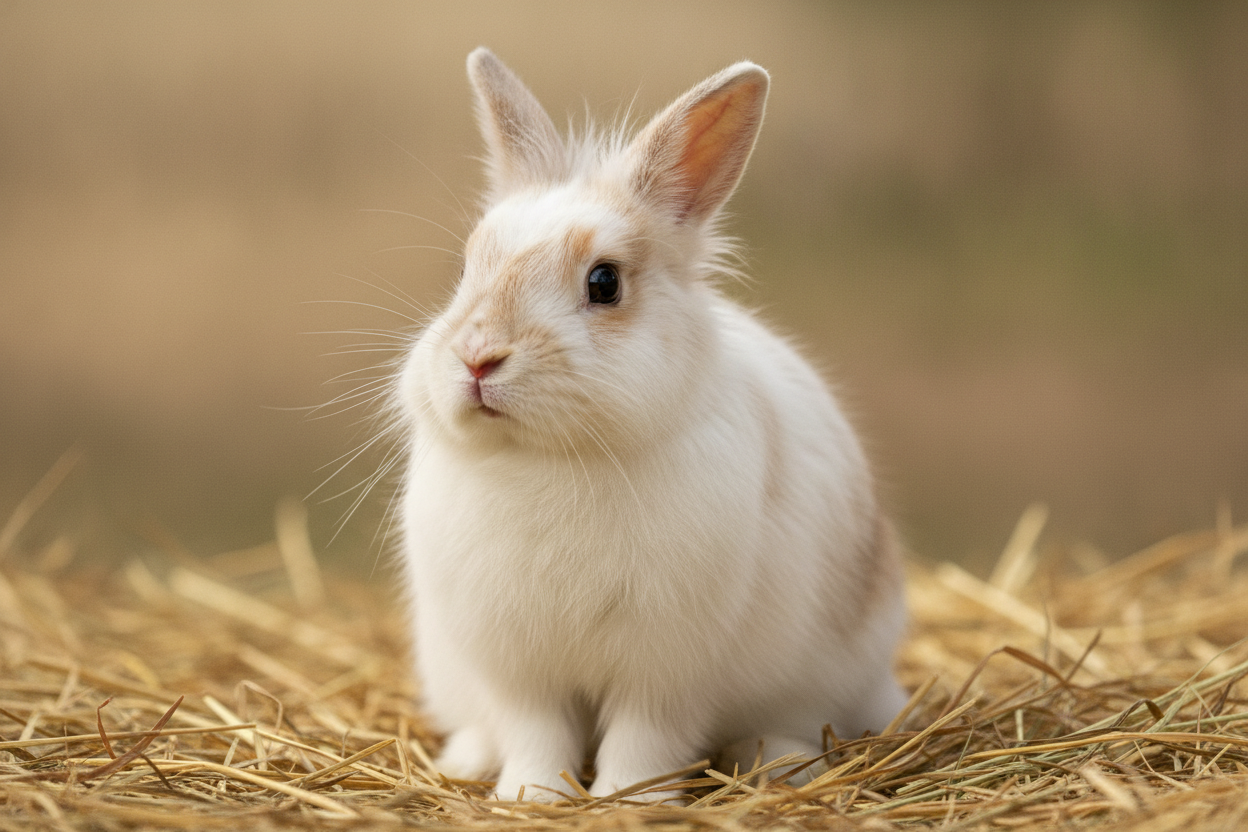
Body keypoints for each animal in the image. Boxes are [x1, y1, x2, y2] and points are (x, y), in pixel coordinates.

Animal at [394, 47, 908, 802]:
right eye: (467, 267)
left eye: (604, 282)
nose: (478, 358)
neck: (552, 459)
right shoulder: (516, 664)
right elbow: (535, 732)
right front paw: (532, 796)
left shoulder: (666, 666)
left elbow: (645, 738)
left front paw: (625, 798)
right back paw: (467, 758)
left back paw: (781, 761)